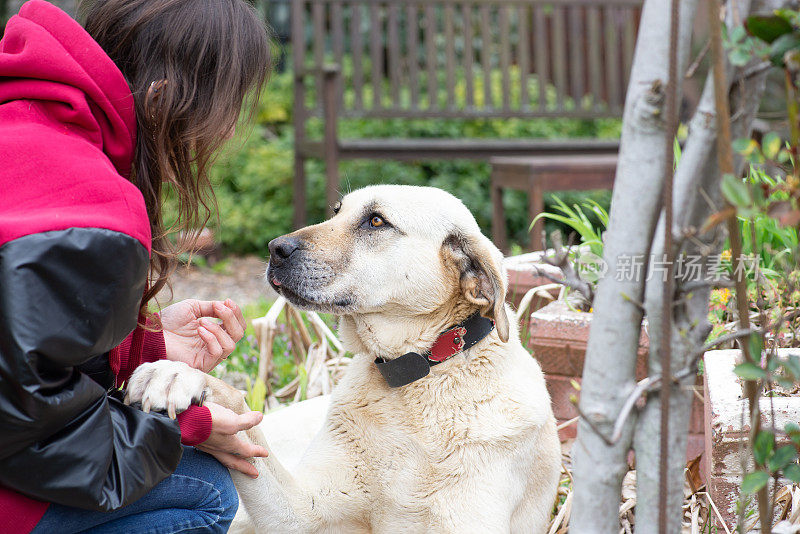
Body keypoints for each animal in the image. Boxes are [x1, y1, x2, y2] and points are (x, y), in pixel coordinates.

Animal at [126, 186, 564, 532]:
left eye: (376, 221)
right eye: (337, 211)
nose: (275, 249)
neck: (417, 378)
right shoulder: (302, 513)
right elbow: (236, 404)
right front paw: (175, 374)